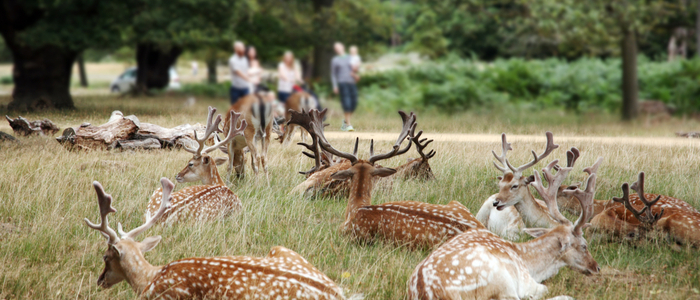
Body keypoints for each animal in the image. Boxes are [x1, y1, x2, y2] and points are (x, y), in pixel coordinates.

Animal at [408, 156, 600, 298]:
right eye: (584, 245)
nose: (596, 267)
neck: (531, 263)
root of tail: (427, 291)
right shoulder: (525, 282)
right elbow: (546, 289)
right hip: (500, 280)